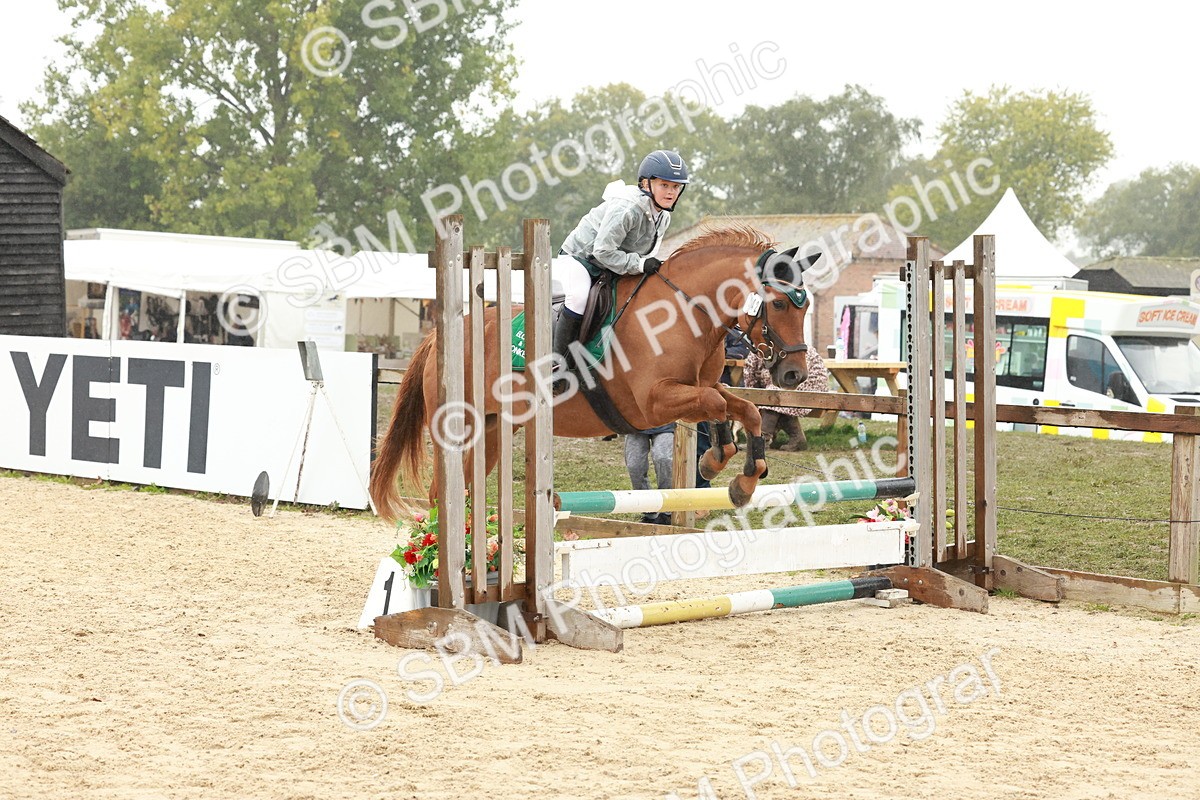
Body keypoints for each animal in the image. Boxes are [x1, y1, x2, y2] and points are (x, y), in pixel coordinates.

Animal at [369, 222, 816, 522]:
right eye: (779, 304)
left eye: (807, 304)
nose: (794, 375)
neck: (685, 312)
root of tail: (437, 337)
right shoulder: (653, 403)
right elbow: (715, 404)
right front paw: (716, 461)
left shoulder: (697, 388)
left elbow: (743, 409)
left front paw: (739, 478)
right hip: (459, 428)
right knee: (440, 495)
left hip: (493, 430)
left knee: (458, 492)